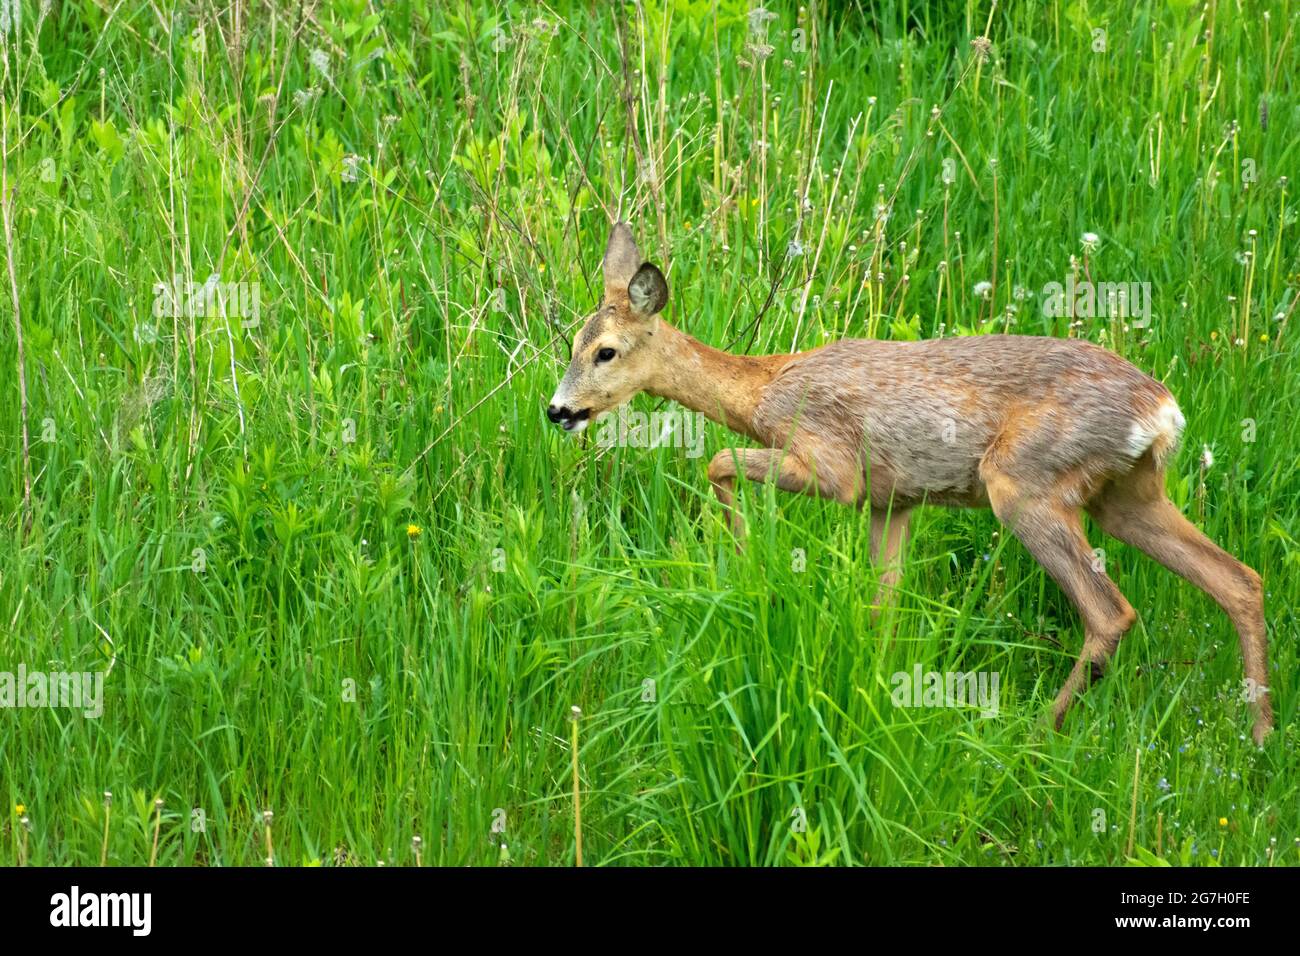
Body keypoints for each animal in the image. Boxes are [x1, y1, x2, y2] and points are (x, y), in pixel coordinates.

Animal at [546, 222, 1274, 744]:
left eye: (605, 351)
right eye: (572, 344)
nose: (558, 410)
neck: (766, 390)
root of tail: (1163, 411)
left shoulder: (833, 466)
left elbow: (719, 460)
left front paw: (743, 554)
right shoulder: (890, 501)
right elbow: (881, 604)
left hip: (1024, 483)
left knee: (1111, 612)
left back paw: (1036, 734)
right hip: (1126, 495)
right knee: (1240, 578)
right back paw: (1260, 736)